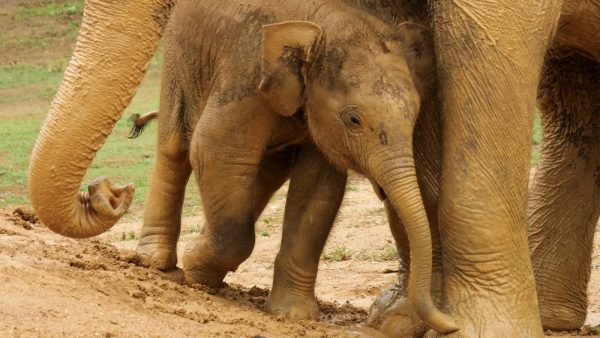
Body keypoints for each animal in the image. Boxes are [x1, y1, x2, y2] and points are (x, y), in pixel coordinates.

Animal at [135, 0, 454, 332]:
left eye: (416, 115)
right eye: (353, 120)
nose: (451, 324)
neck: (322, 27)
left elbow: (318, 186)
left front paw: (292, 315)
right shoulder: (246, 75)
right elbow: (215, 149)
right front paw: (195, 268)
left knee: (270, 169)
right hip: (179, 56)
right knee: (175, 147)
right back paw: (154, 262)